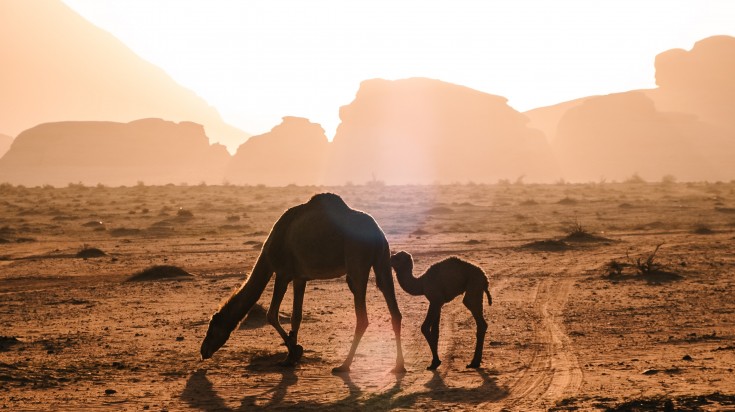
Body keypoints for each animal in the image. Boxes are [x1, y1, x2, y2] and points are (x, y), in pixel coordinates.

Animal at [201, 193, 408, 374]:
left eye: (212, 327)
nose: (203, 351)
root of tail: (378, 232)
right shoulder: (300, 277)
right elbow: (296, 316)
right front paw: (292, 354)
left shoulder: (283, 272)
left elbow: (271, 314)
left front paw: (293, 353)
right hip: (383, 260)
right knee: (394, 311)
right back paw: (398, 366)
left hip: (357, 261)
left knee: (362, 317)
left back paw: (344, 366)